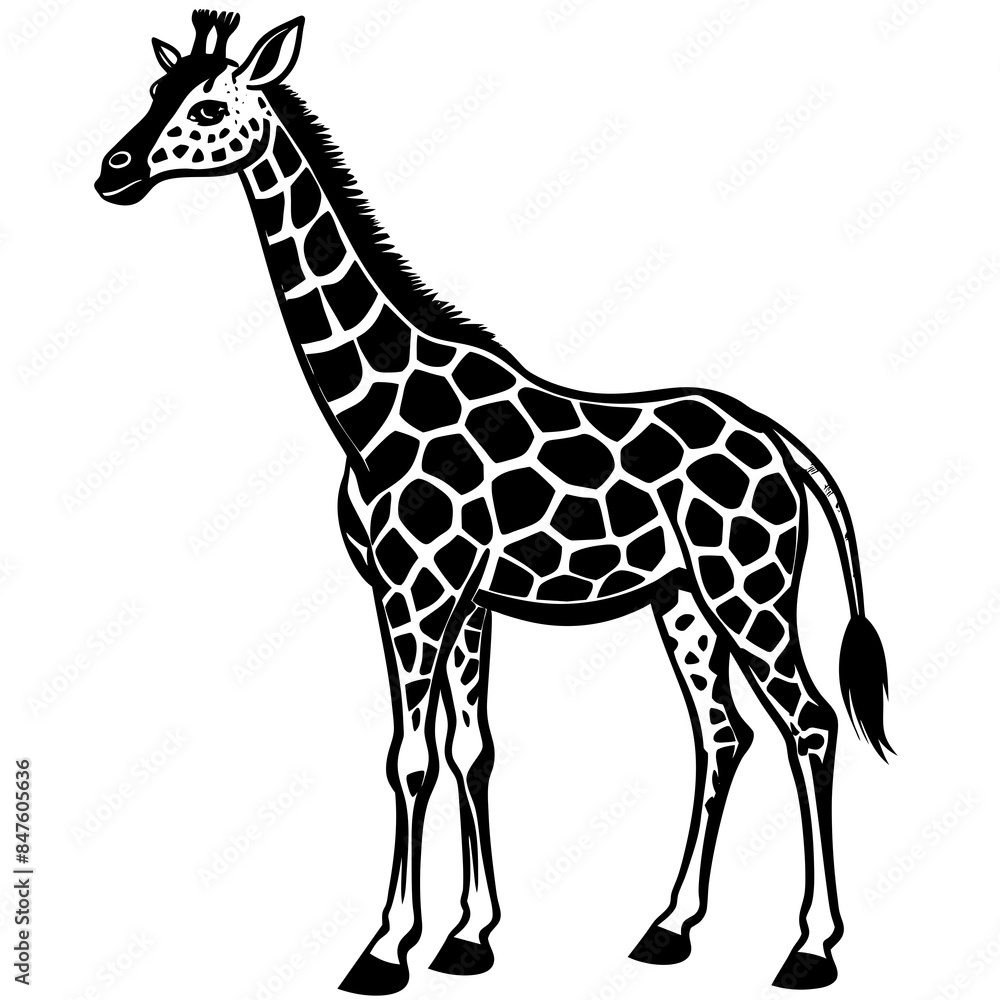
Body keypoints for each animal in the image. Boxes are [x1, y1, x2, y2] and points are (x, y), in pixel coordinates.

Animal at [96, 12, 893, 995]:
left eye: (209, 107)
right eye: (154, 91)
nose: (113, 171)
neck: (368, 407)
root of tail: (783, 445)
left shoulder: (417, 592)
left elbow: (410, 758)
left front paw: (384, 950)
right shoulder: (461, 600)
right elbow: (470, 750)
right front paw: (468, 938)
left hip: (749, 585)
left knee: (809, 723)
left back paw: (810, 948)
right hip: (683, 600)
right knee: (723, 734)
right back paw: (669, 927)